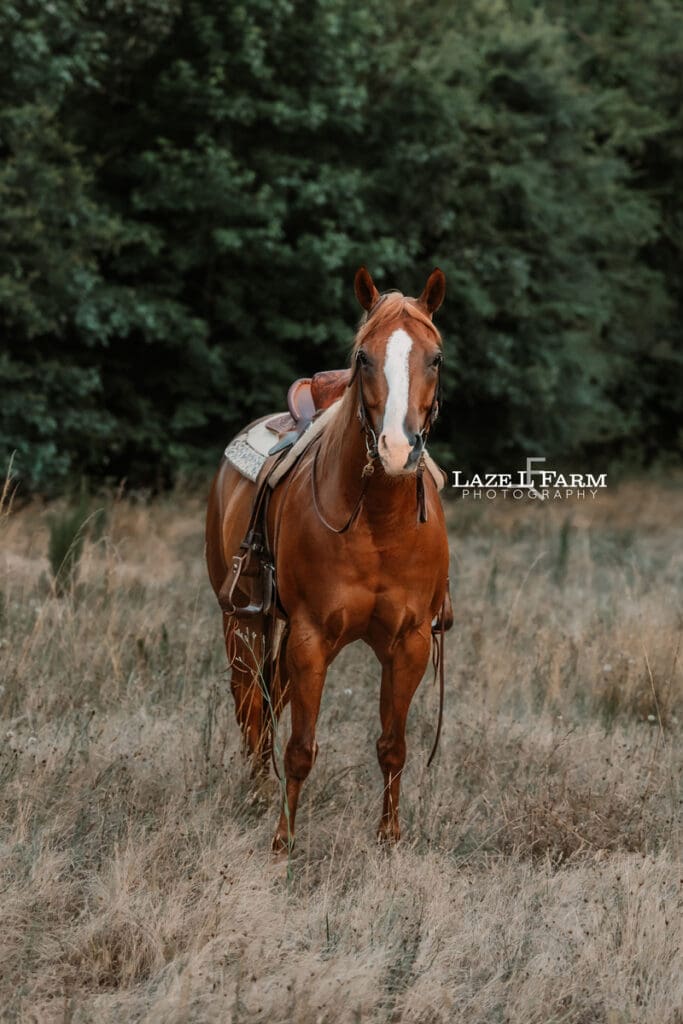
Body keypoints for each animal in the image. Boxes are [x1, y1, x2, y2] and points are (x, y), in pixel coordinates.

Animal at [205, 266, 452, 852]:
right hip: (240, 620)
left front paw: (389, 840)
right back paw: (254, 792)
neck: (378, 521)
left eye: (435, 358)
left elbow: (393, 745)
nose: (396, 450)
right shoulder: (311, 635)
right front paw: (283, 844)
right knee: (249, 700)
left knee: (270, 697)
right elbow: (300, 747)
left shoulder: (408, 642)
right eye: (363, 357)